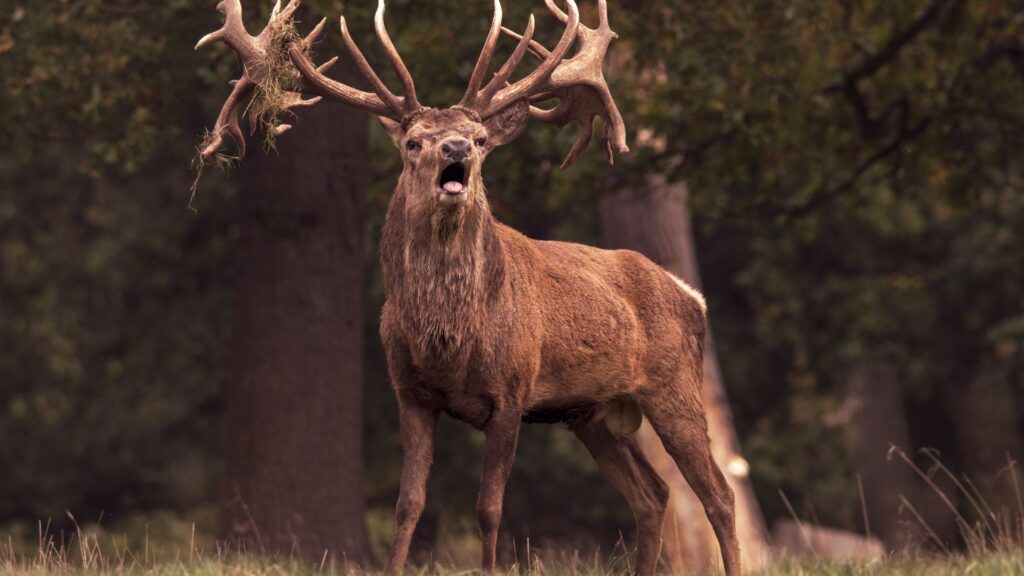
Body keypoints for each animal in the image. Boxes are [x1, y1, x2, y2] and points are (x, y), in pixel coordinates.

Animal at [196, 0, 741, 574]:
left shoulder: (512, 391)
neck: (449, 343)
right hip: (590, 413)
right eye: (413, 142)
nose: (456, 147)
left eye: (480, 140)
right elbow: (408, 503)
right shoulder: (409, 392)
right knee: (652, 493)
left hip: (674, 384)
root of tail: (692, 296)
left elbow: (489, 508)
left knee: (718, 494)